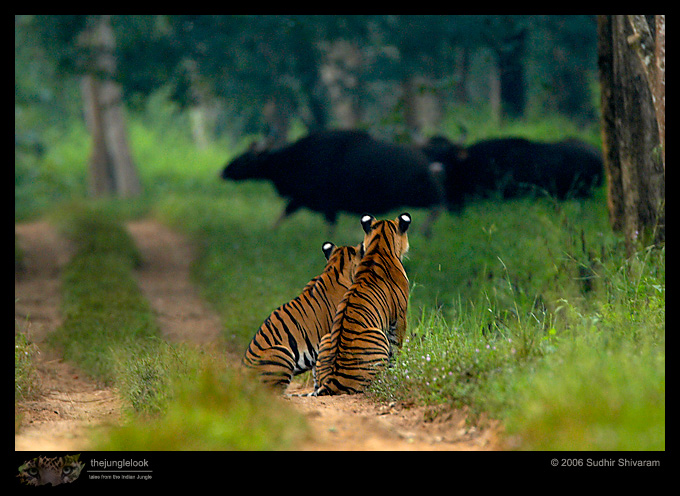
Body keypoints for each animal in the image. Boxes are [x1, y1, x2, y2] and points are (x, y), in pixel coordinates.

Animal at [313, 213, 411, 396]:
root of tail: (332, 379)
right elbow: (396, 347)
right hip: (377, 335)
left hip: (326, 337)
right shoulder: (400, 317)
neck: (379, 246)